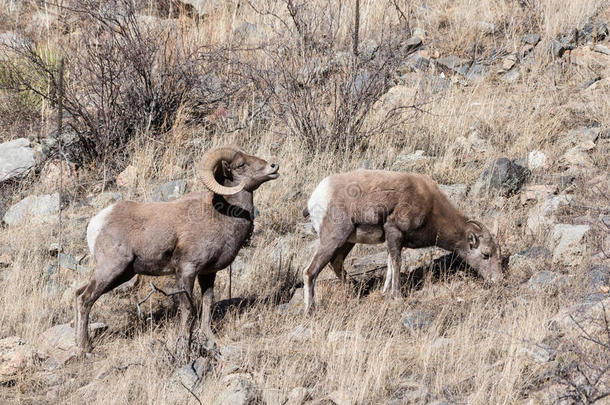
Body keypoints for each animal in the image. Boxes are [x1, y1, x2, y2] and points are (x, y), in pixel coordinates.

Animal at [75, 146, 280, 354]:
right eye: (241, 164)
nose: (274, 166)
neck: (221, 216)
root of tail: (97, 222)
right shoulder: (186, 270)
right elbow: (188, 308)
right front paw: (183, 346)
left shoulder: (208, 273)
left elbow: (207, 304)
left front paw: (210, 339)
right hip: (111, 269)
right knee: (85, 299)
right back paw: (85, 348)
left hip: (122, 274)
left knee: (79, 294)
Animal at [302, 169, 502, 310]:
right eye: (485, 254)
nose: (497, 281)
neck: (431, 206)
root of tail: (315, 198)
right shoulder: (394, 231)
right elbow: (397, 263)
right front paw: (397, 296)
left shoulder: (394, 240)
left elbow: (390, 265)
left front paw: (385, 294)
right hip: (334, 238)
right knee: (310, 271)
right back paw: (310, 309)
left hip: (347, 242)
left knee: (336, 263)